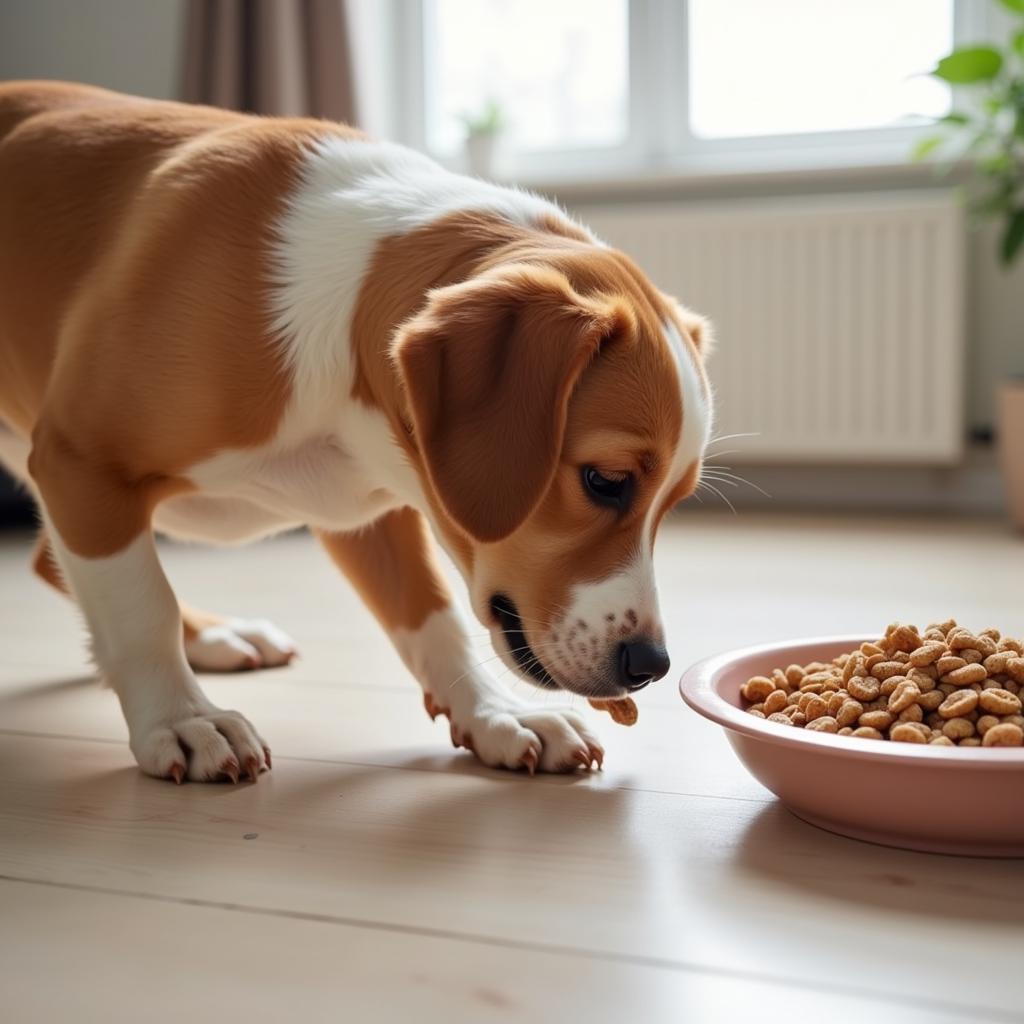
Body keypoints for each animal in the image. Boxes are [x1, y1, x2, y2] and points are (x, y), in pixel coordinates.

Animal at [0, 81, 712, 782]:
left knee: (45, 560)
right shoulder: (79, 463)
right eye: (605, 480)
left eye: (674, 503)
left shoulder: (374, 507)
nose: (649, 666)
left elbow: (431, 614)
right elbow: (144, 607)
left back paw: (216, 638)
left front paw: (494, 715)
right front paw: (182, 718)